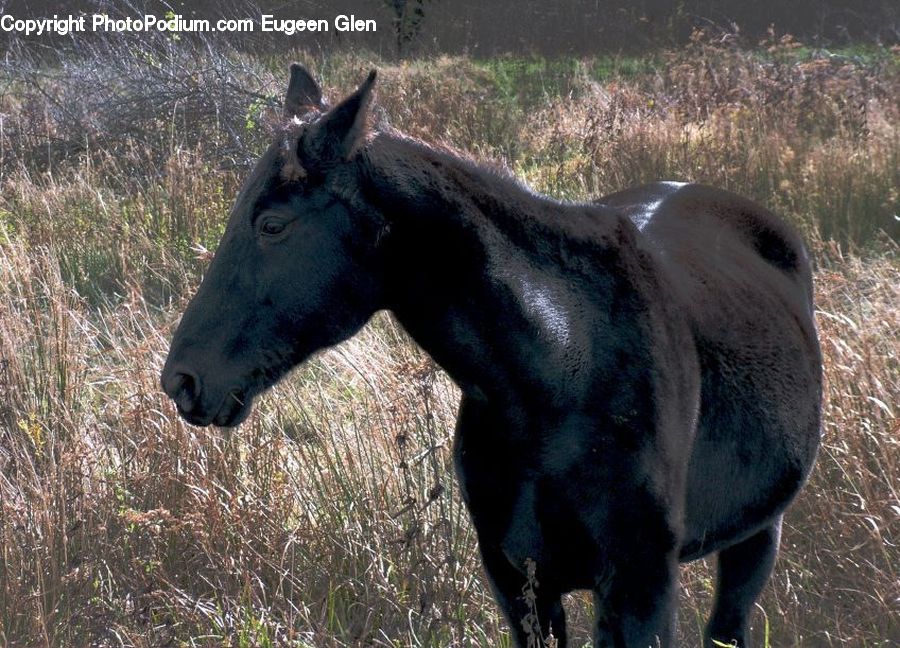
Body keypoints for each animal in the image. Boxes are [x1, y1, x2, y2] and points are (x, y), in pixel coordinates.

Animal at [161, 65, 822, 647]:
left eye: (272, 224)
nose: (181, 380)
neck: (564, 371)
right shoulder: (519, 583)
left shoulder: (641, 589)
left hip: (757, 538)